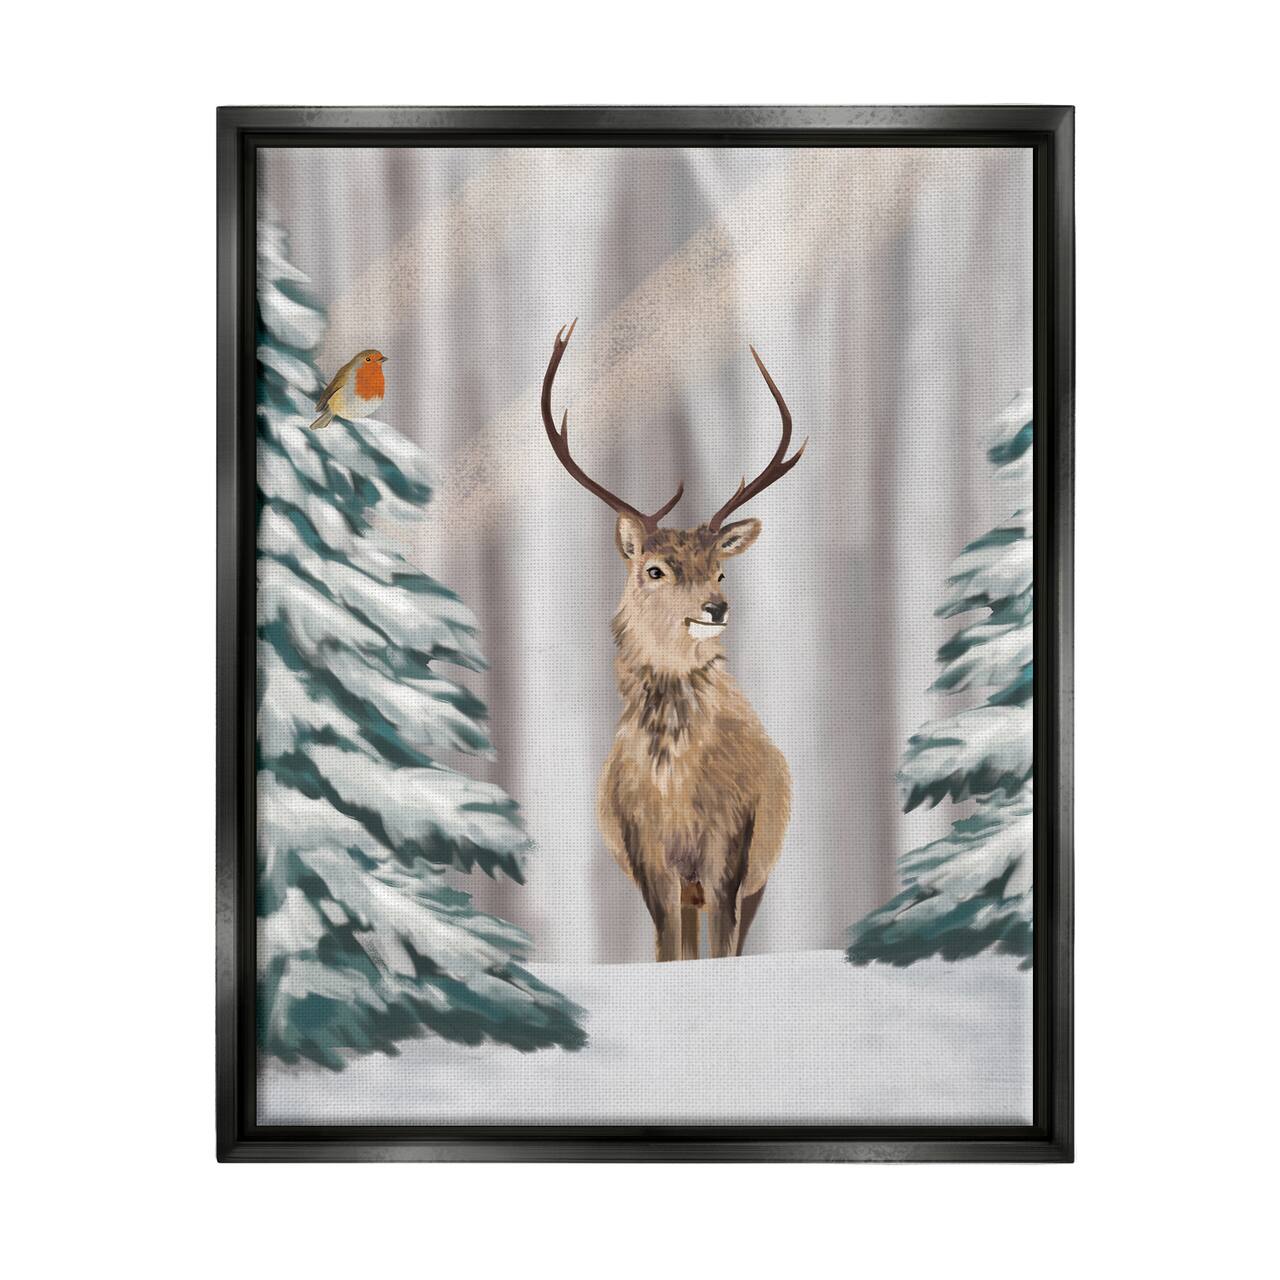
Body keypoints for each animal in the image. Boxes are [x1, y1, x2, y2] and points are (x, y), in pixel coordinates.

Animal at [541, 320, 805, 961]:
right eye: (655, 569)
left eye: (721, 571)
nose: (716, 608)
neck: (676, 785)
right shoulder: (645, 850)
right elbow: (666, 953)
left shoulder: (733, 842)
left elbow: (722, 949)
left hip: (760, 869)